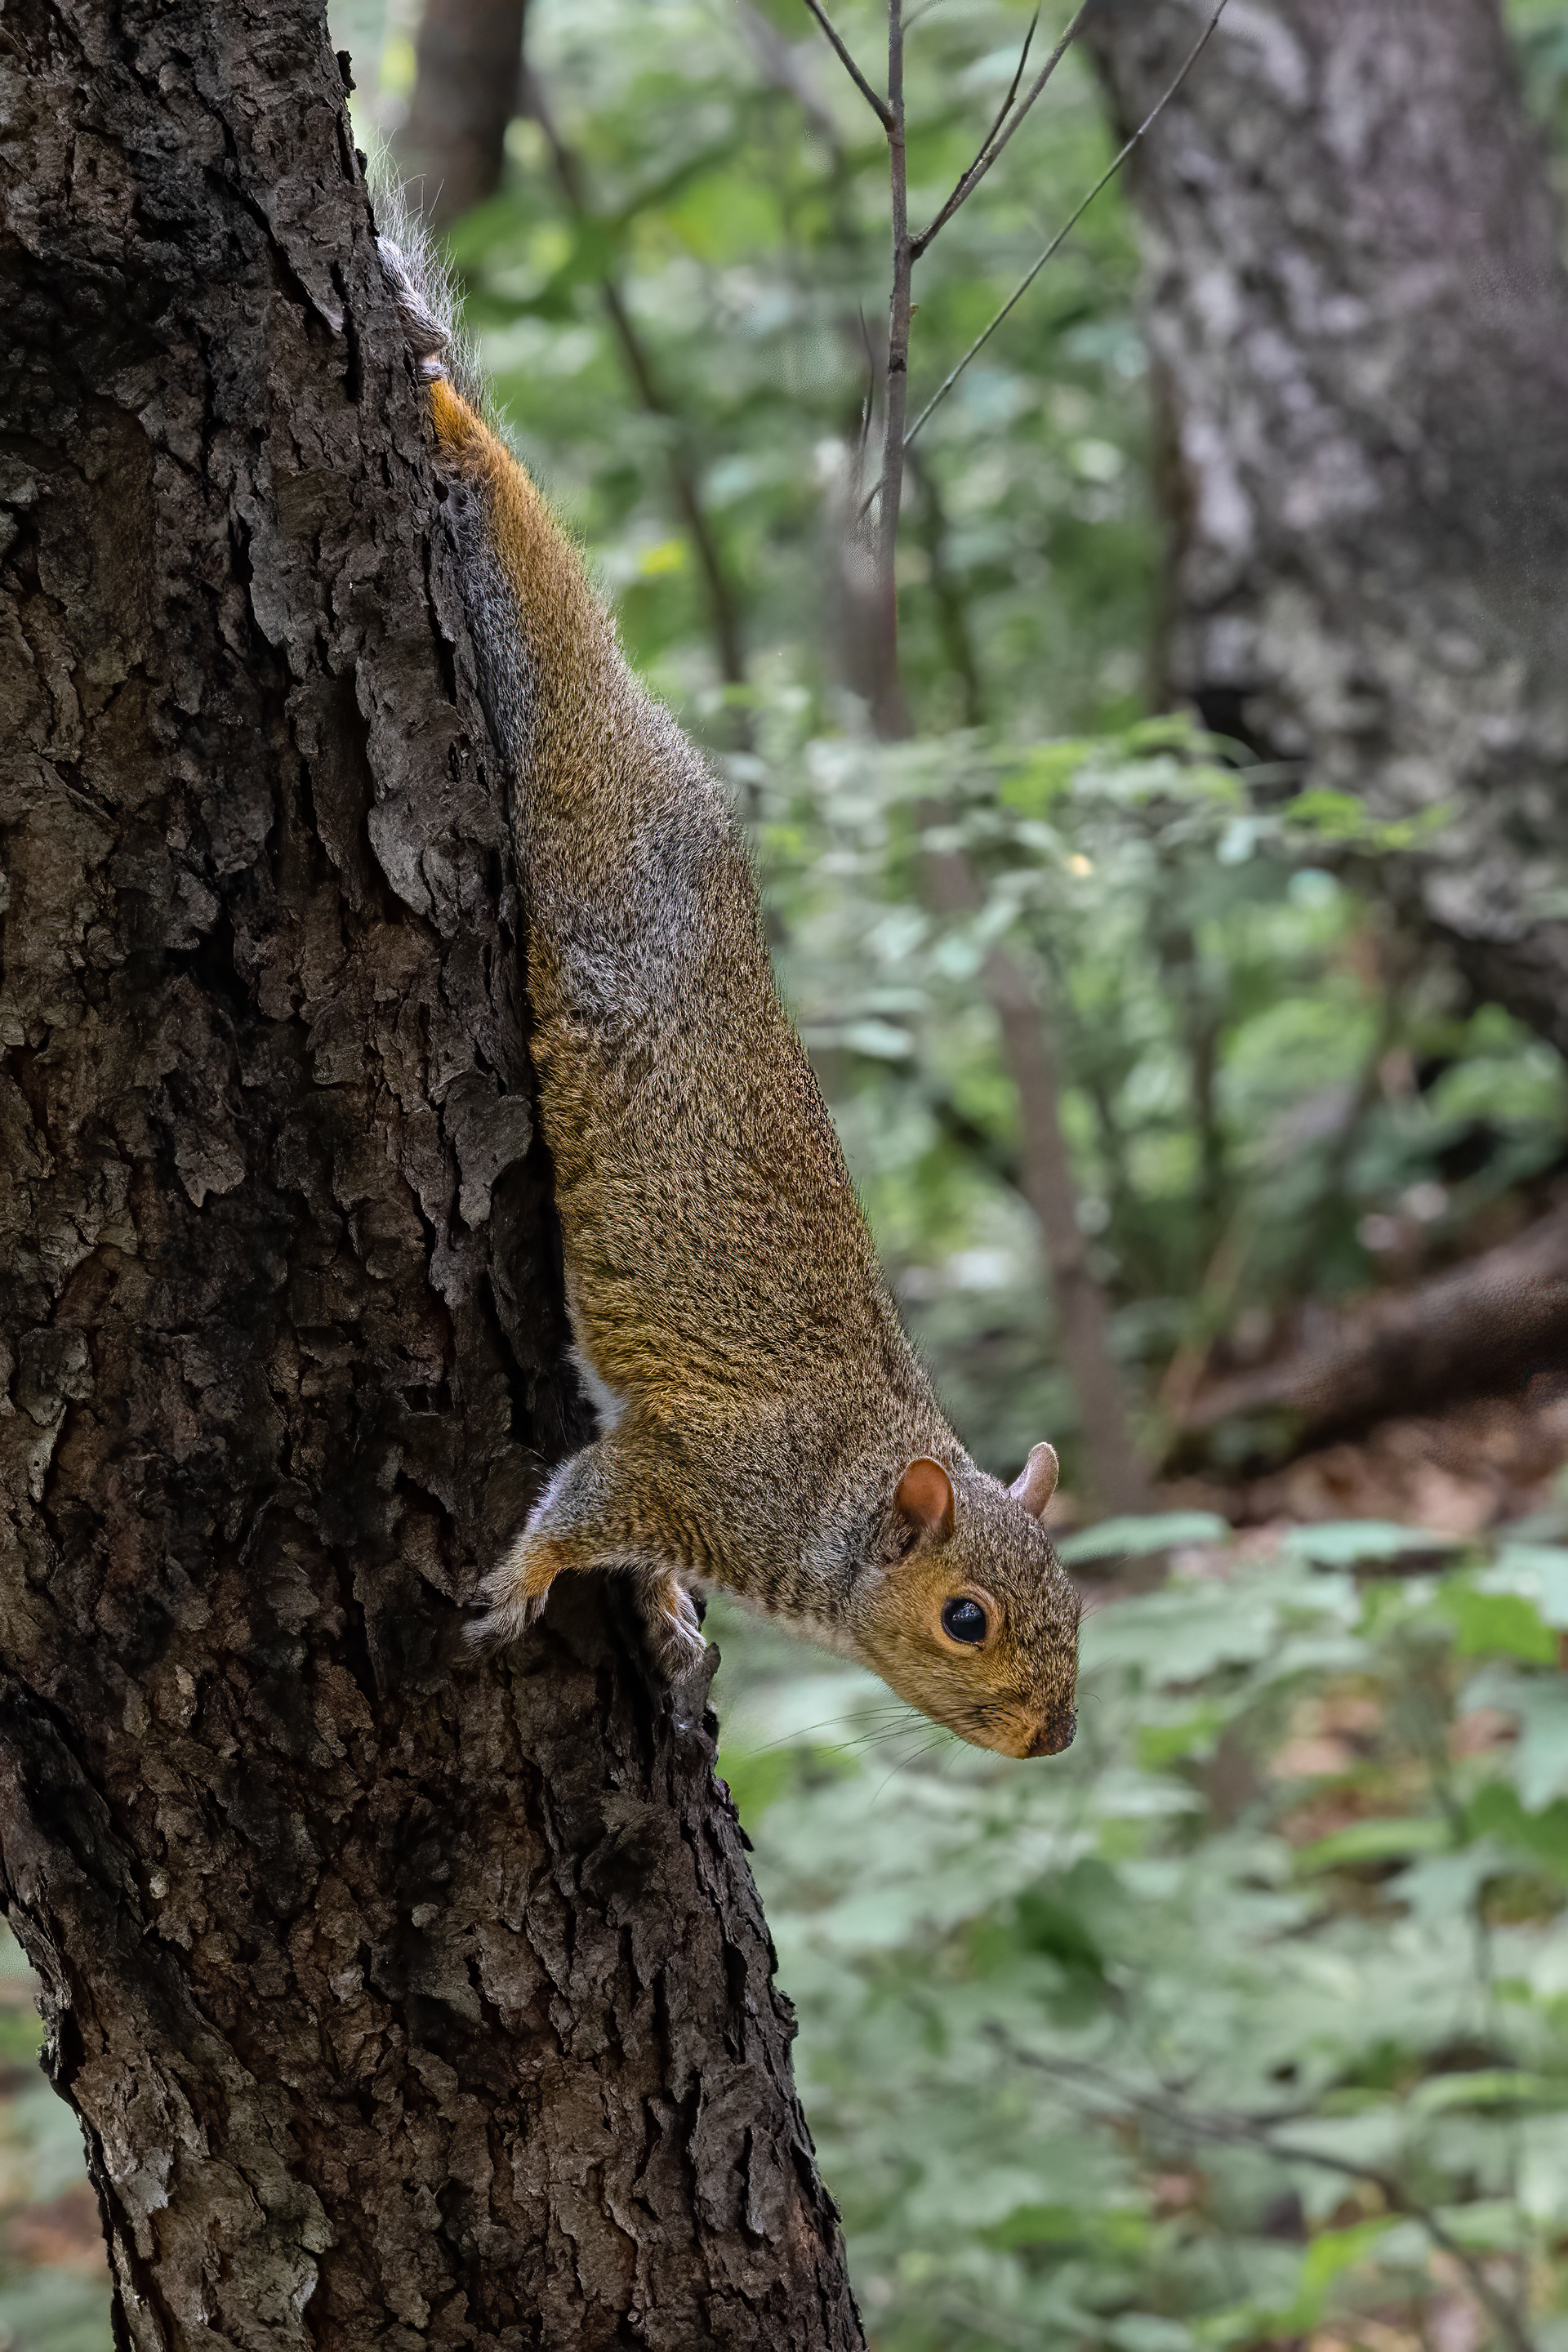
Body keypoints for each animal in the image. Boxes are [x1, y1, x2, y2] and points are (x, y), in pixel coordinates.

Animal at [376, 214, 1080, 1761]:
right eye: (966, 1620)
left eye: (1076, 1608)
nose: (1054, 1739)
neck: (844, 1489)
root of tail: (661, 749)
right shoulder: (691, 1469)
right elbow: (581, 1508)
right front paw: (519, 1584)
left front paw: (665, 1622)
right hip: (578, 810)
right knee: (528, 579)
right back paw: (445, 418)